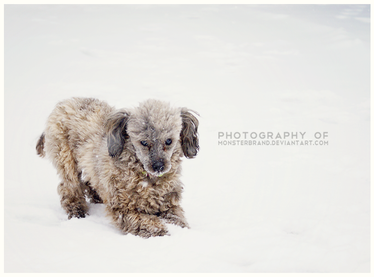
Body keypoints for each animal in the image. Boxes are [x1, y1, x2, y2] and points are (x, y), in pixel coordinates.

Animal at [35, 97, 199, 237]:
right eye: (143, 142)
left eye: (169, 141)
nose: (159, 166)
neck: (147, 179)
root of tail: (63, 103)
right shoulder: (123, 209)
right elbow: (145, 221)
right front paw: (161, 230)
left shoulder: (169, 204)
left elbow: (178, 219)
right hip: (65, 158)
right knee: (69, 187)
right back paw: (76, 210)